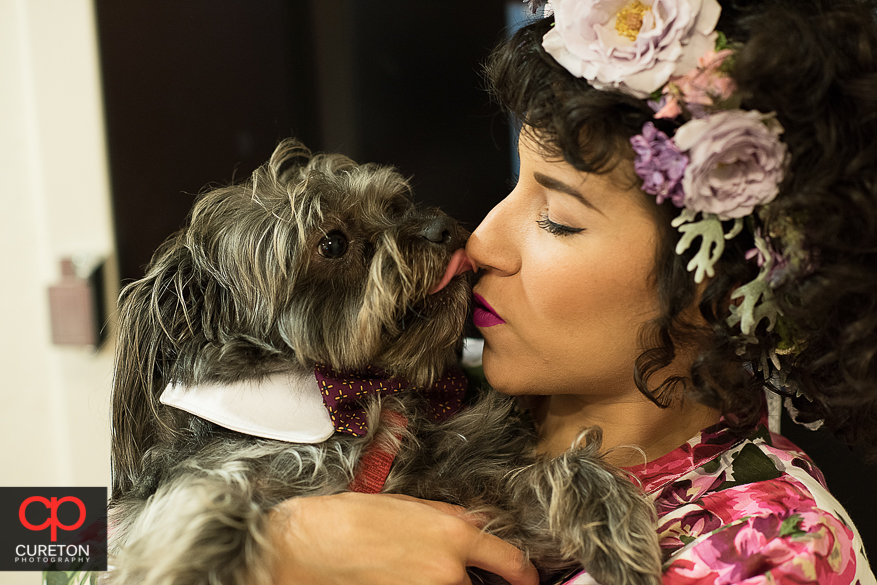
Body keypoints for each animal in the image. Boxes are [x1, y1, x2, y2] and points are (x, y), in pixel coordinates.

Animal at [106, 138, 660, 584]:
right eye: (331, 242)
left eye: (396, 203)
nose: (442, 228)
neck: (367, 393)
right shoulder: (215, 480)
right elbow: (207, 506)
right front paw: (186, 568)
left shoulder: (492, 518)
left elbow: (573, 470)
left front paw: (620, 537)